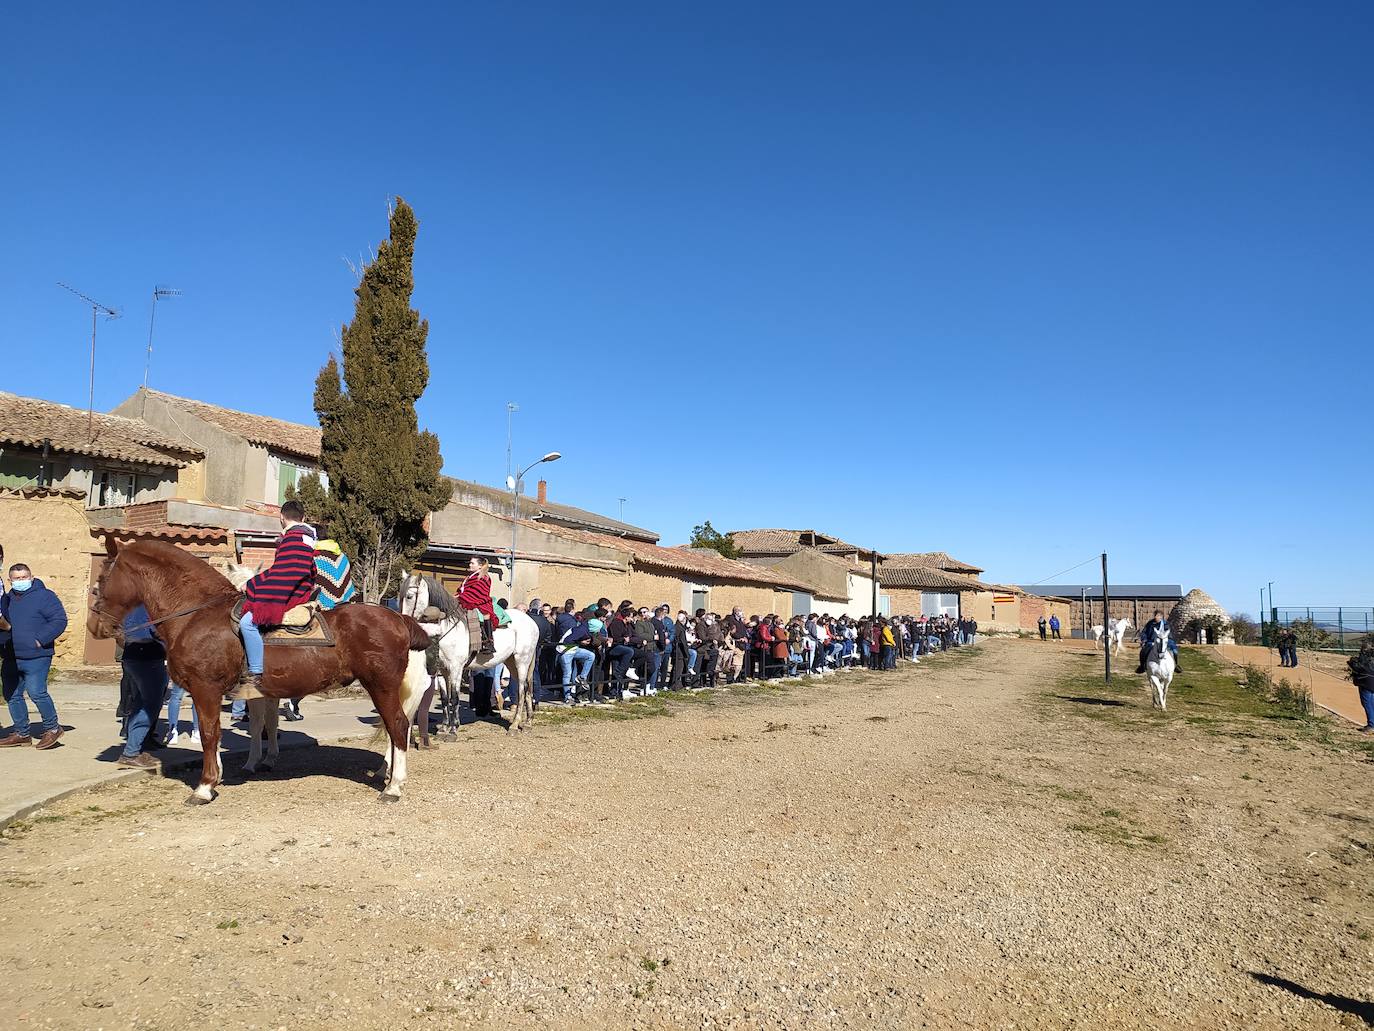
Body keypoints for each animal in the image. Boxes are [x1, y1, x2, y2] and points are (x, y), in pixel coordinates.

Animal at [88, 541, 428, 808]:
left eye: (102, 579)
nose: (95, 627)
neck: (198, 613)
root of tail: (398, 618)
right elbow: (237, 730)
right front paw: (229, 772)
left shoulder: (205, 689)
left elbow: (210, 734)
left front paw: (205, 787)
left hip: (381, 686)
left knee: (398, 726)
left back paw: (393, 787)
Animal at [398, 574, 541, 736]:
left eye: (409, 596)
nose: (403, 621)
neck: (446, 628)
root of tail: (531, 621)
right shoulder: (441, 670)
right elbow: (445, 697)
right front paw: (444, 727)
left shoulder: (456, 668)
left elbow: (454, 697)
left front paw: (453, 729)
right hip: (512, 662)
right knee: (527, 687)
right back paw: (528, 722)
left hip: (522, 660)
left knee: (522, 688)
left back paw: (515, 725)